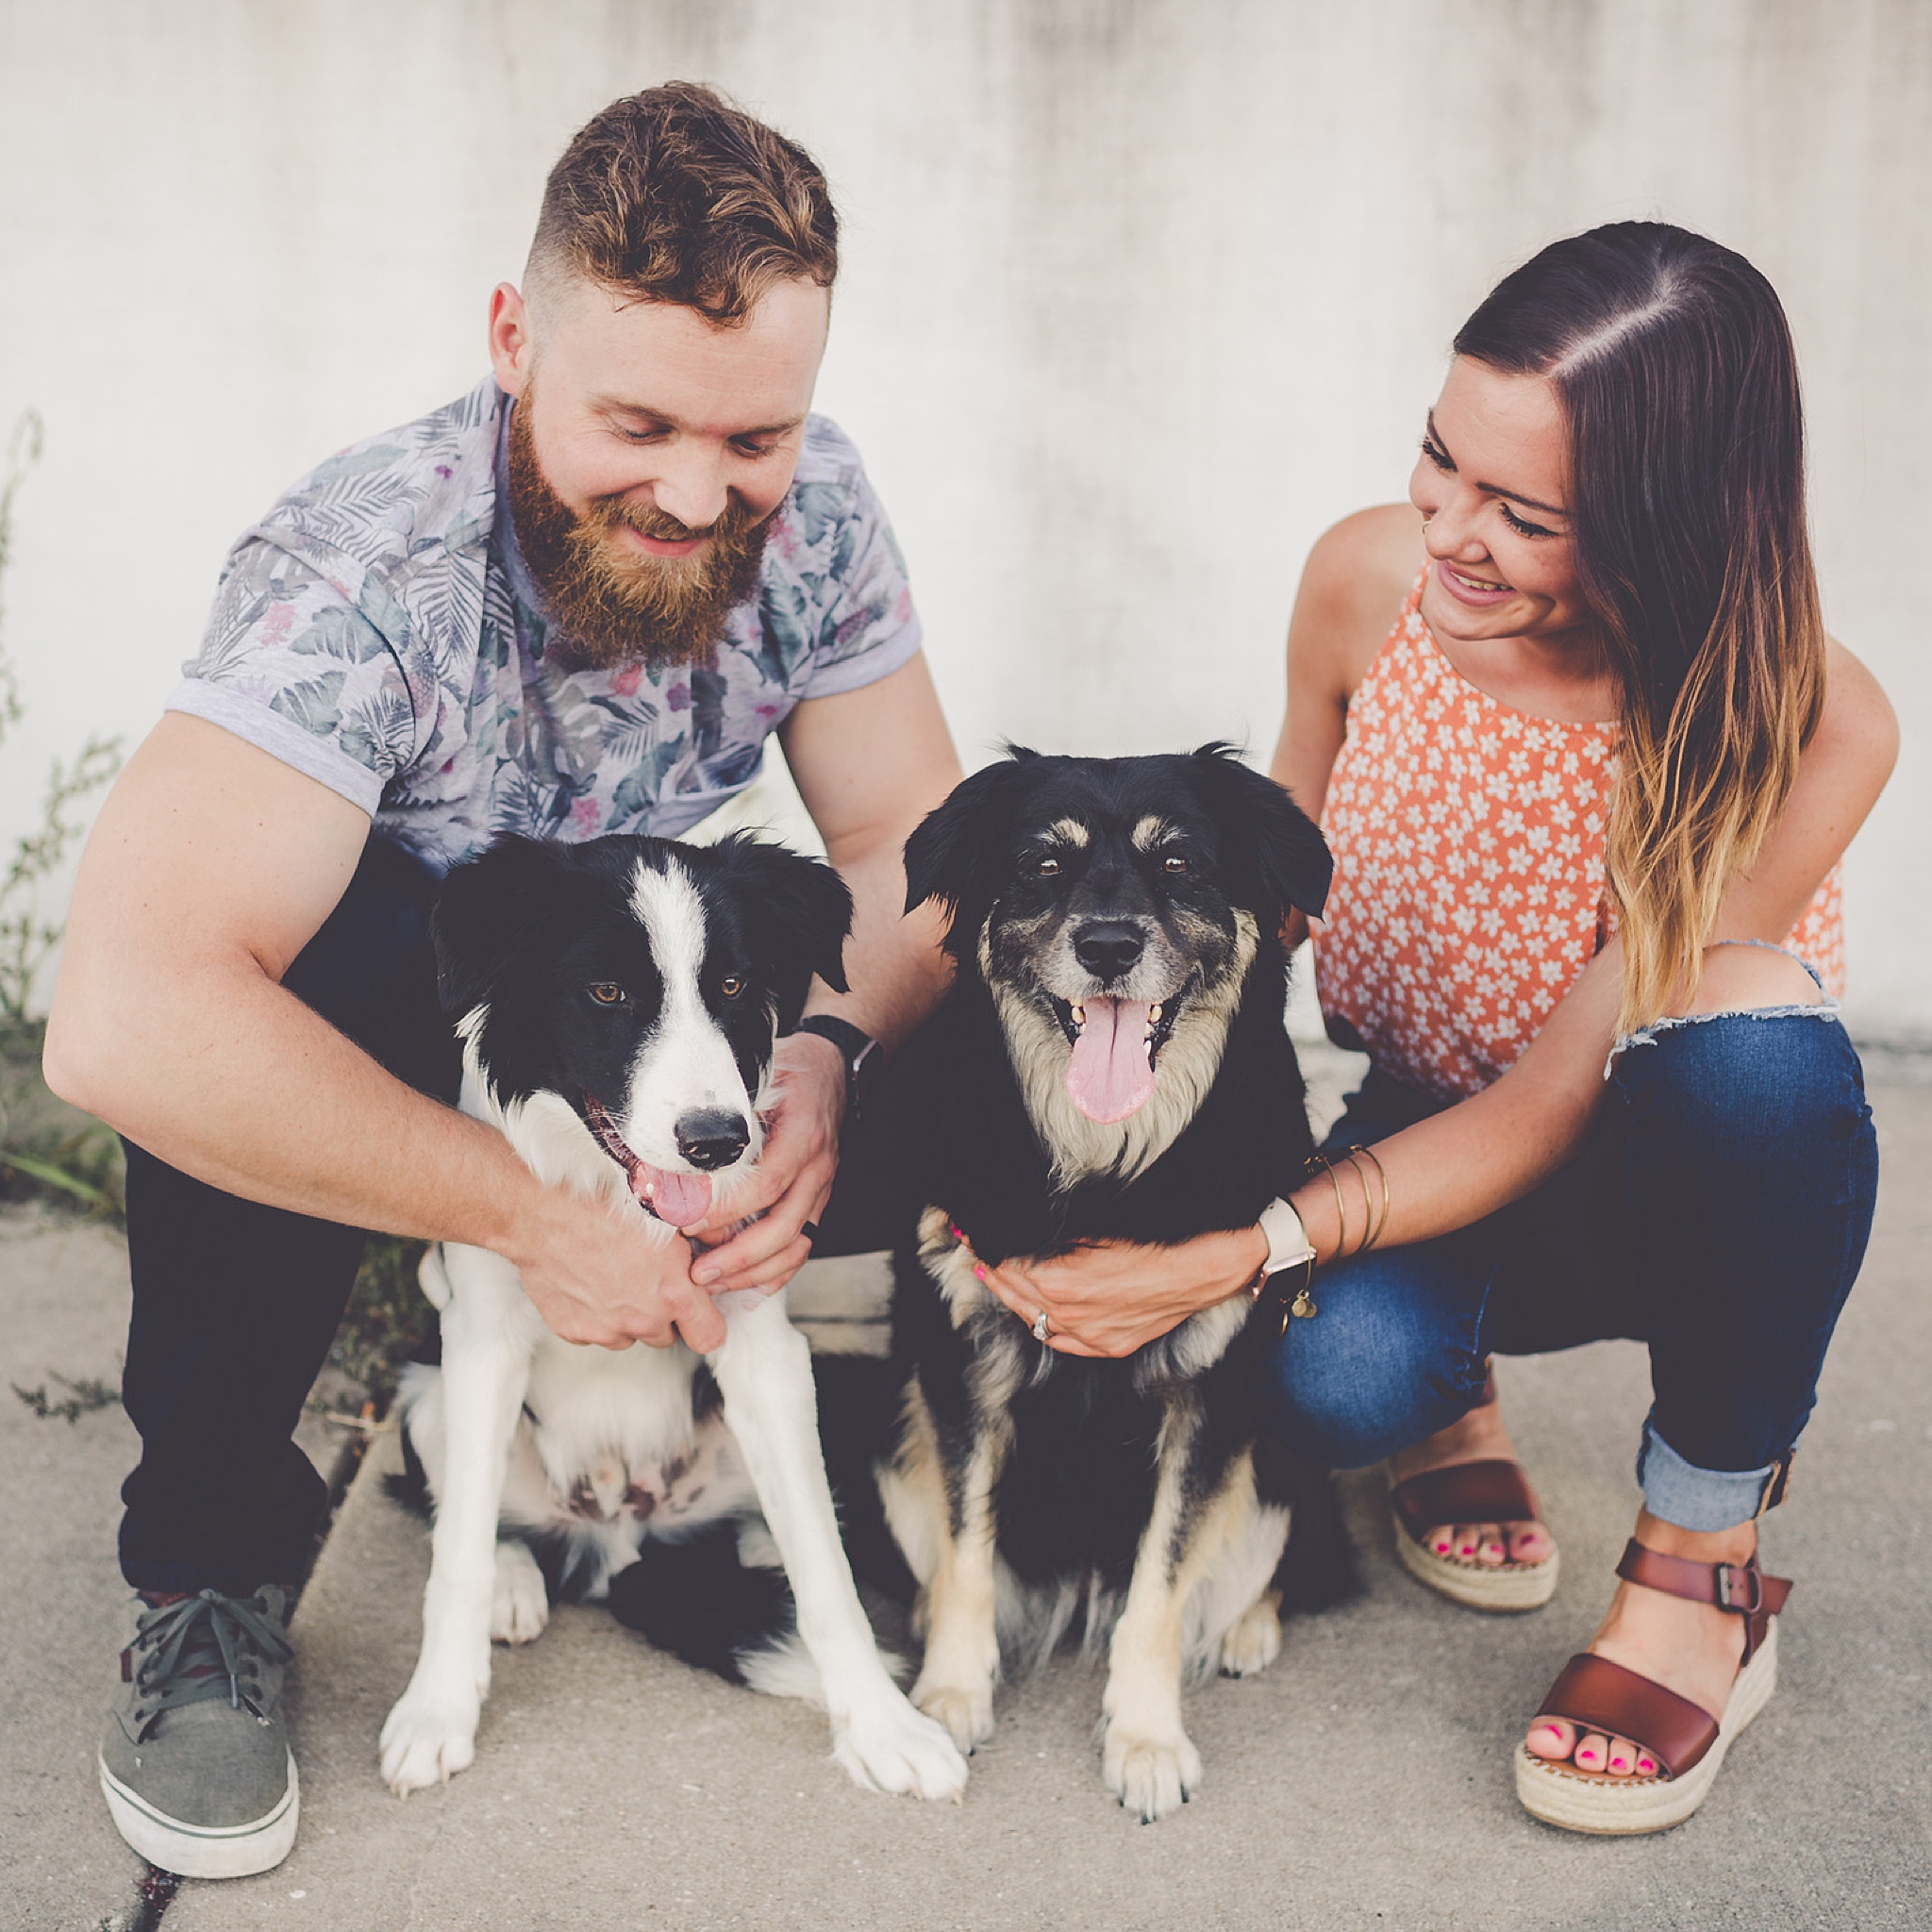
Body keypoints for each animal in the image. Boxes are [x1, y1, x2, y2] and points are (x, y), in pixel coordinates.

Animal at [880, 741, 1352, 1824]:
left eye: (1178, 863)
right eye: (1042, 866)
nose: (1105, 945)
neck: (1104, 1166)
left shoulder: (1212, 1393)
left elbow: (1159, 1586)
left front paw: (1145, 1738)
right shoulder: (960, 1366)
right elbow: (967, 1551)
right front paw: (951, 1693)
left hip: (1280, 1454)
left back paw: (1245, 1628)